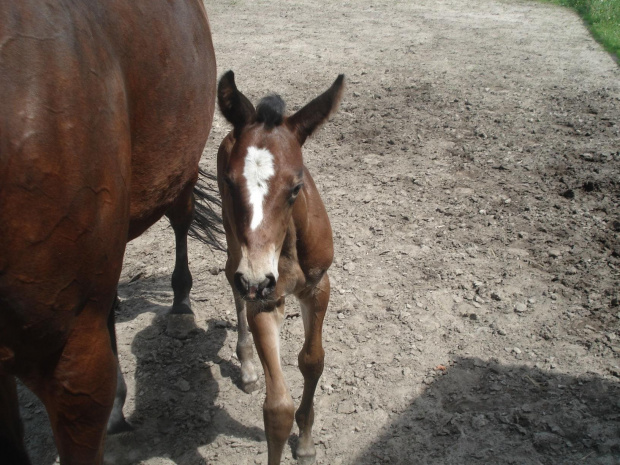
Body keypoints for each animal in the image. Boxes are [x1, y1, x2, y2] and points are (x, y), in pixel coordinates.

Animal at [217, 70, 344, 464]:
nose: (259, 280)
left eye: (296, 187)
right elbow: (277, 411)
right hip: (234, 246)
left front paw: (305, 441)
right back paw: (246, 368)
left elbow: (312, 361)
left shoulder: (318, 286)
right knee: (230, 277)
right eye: (231, 183)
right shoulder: (264, 300)